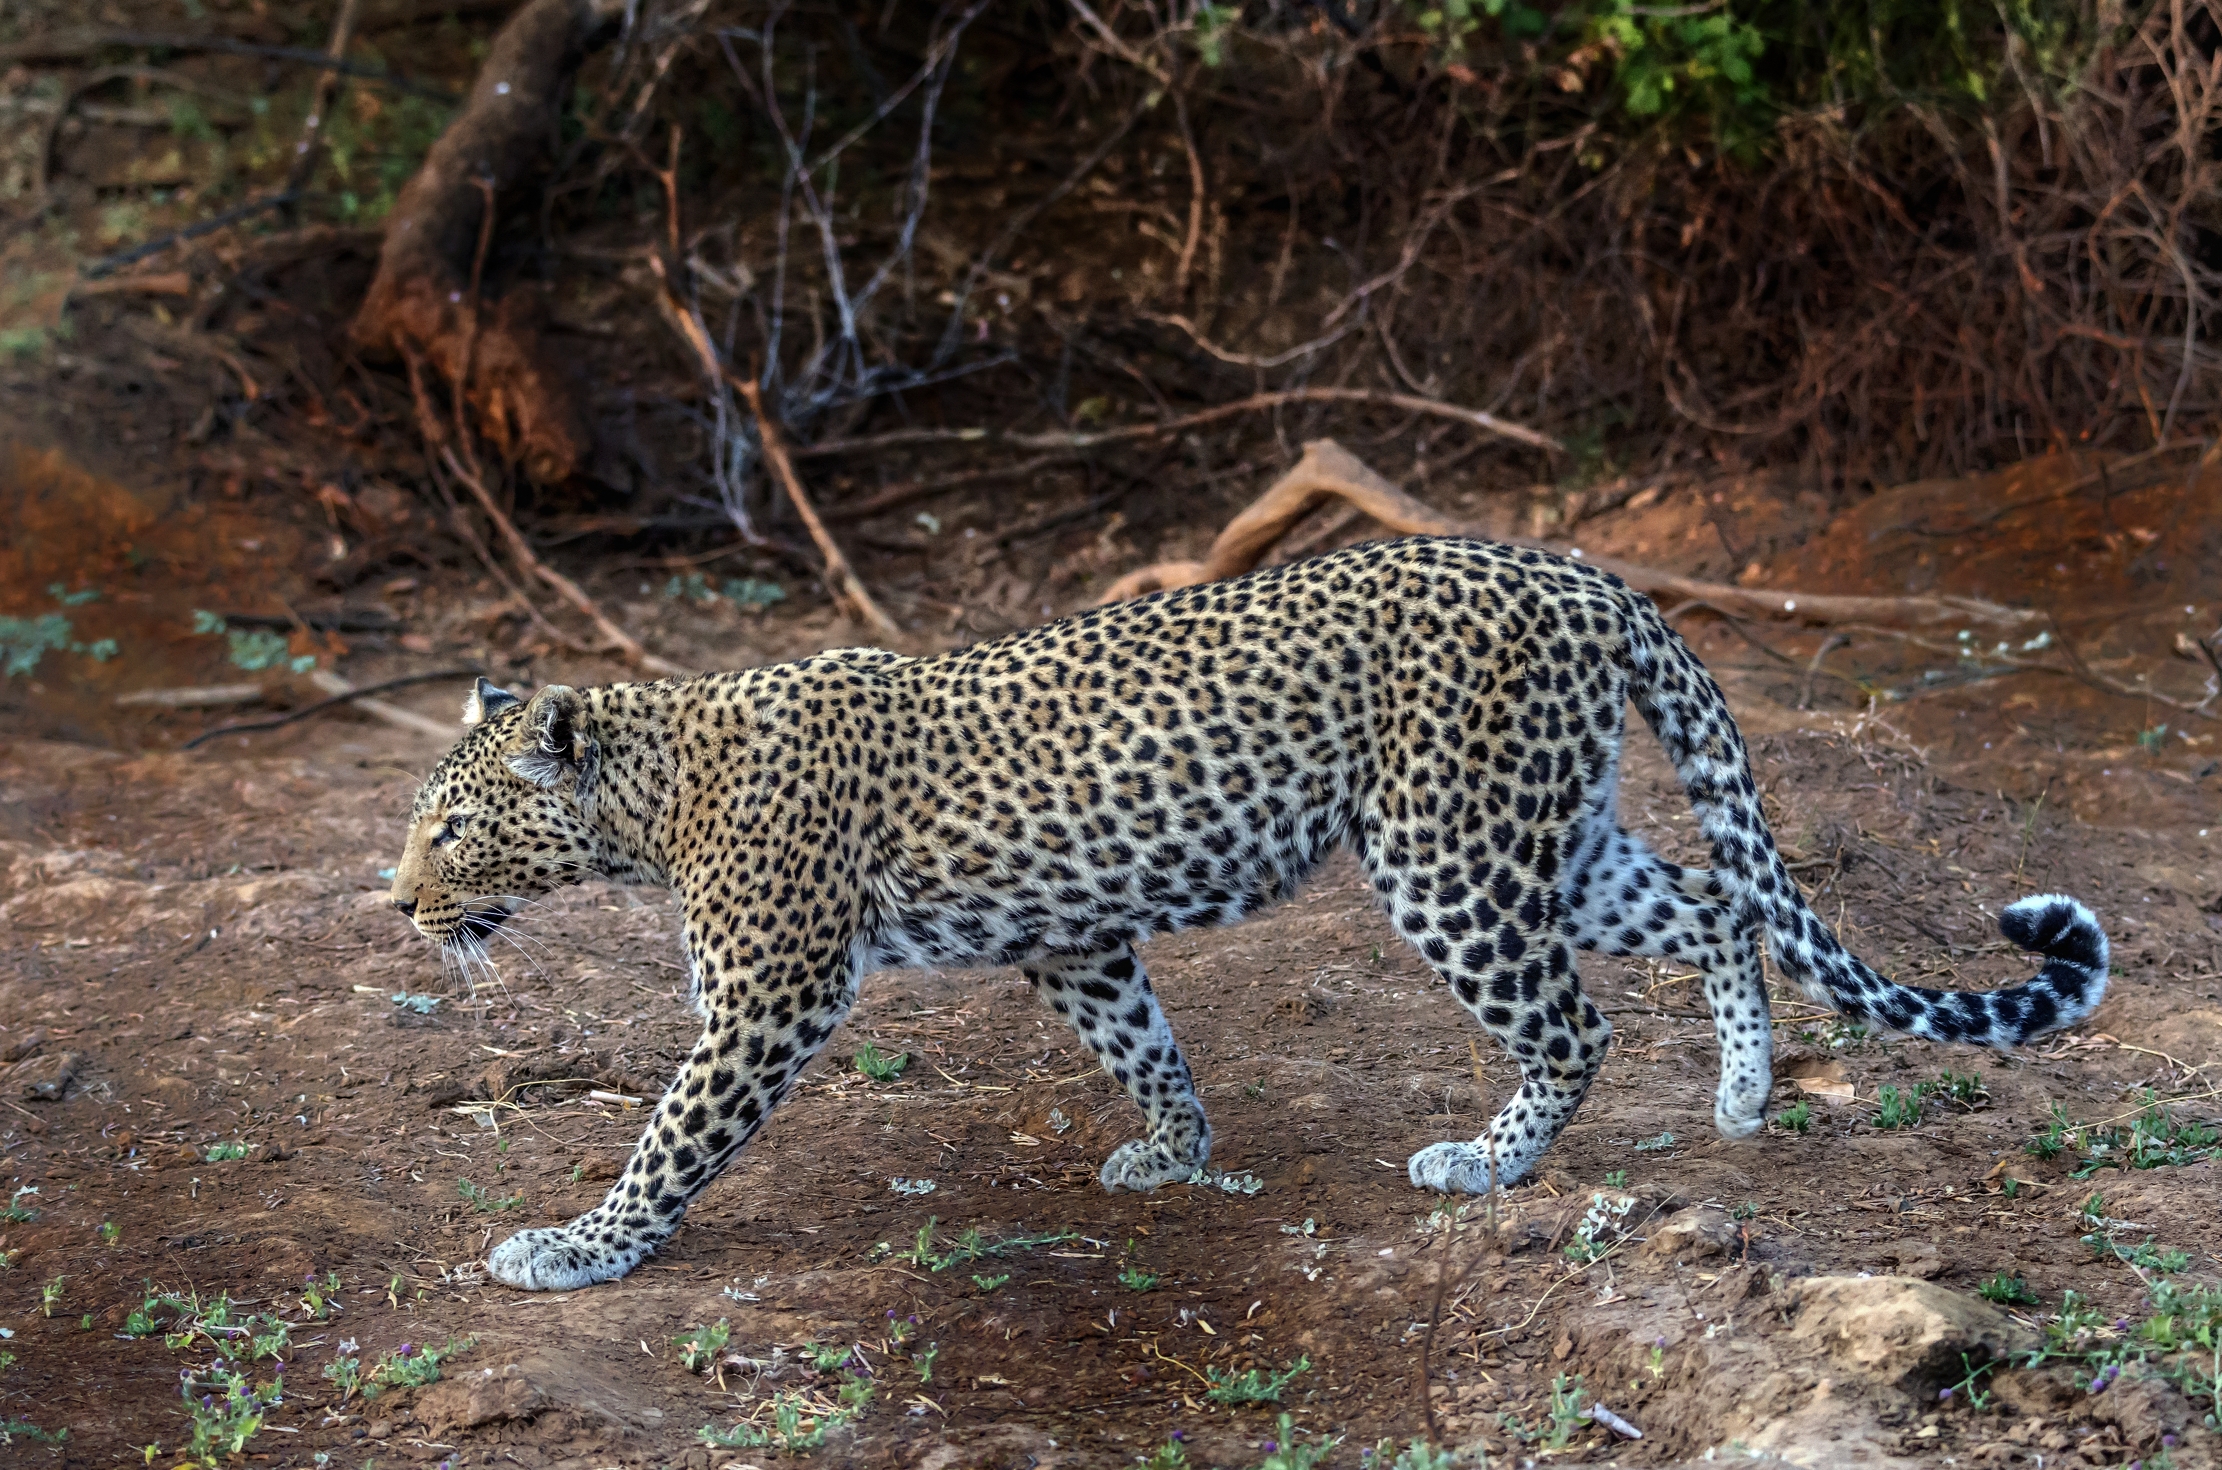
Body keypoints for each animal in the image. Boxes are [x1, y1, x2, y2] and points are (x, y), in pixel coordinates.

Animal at [385, 536, 2110, 1291]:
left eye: (452, 821)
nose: (394, 900)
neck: (650, 796)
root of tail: (1572, 567)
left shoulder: (771, 995)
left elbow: (668, 1133)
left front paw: (579, 1244)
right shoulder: (1073, 936)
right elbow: (1140, 1037)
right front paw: (1175, 1148)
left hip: (1443, 848)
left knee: (1573, 1017)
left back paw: (1489, 1160)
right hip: (1552, 833)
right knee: (1710, 907)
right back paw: (1744, 1092)